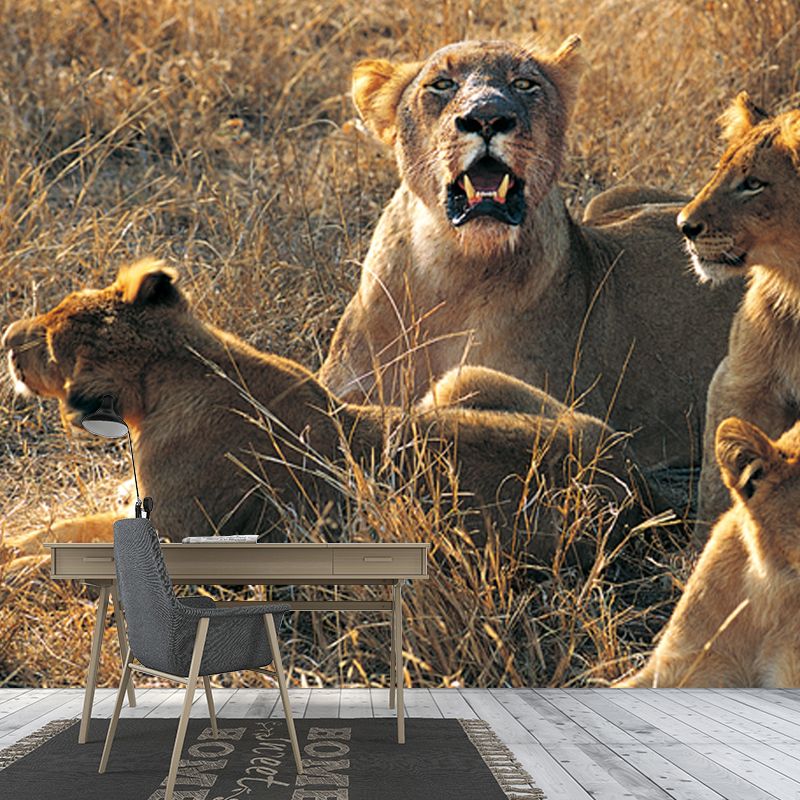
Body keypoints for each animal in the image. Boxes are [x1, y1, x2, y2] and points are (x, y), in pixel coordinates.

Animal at [3, 259, 645, 565]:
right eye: (59, 305)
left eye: (49, 340)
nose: (8, 337)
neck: (181, 366)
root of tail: (627, 468)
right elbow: (55, 530)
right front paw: (15, 546)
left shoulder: (182, 533)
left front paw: (16, 573)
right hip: (459, 381)